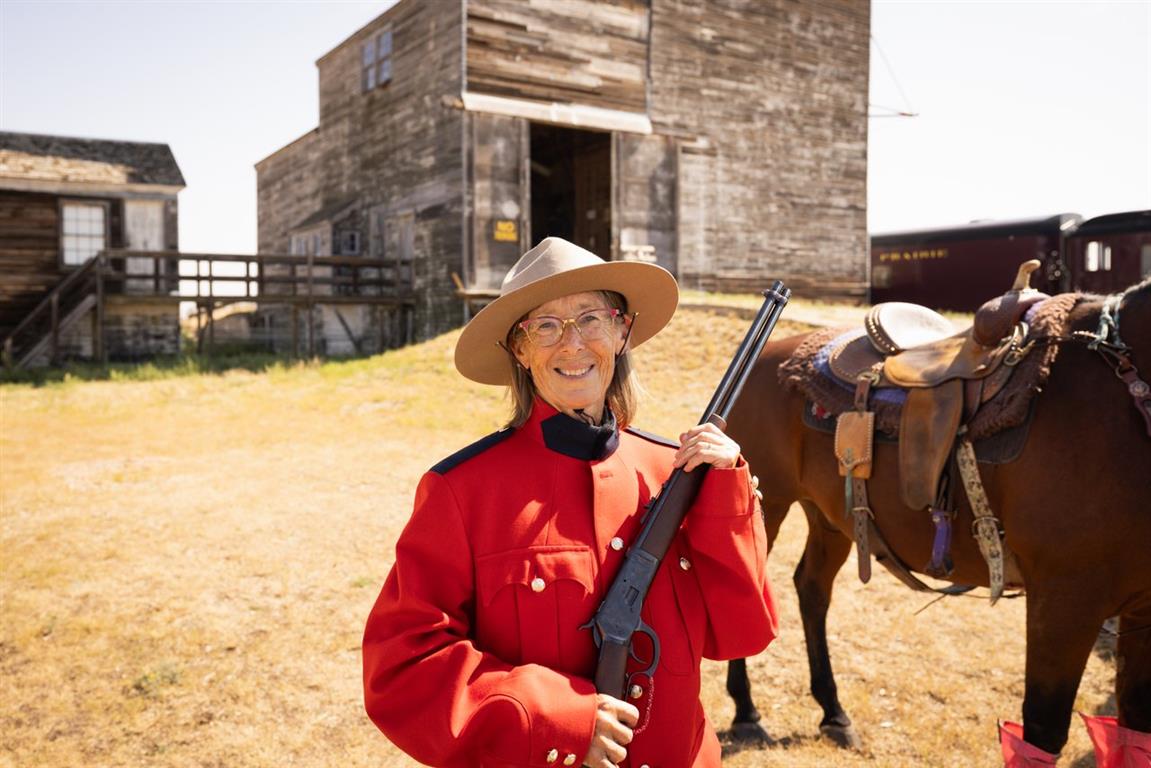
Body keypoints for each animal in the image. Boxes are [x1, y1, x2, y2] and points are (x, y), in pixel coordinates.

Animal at [722, 280, 1146, 755]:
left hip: (828, 516)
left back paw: (833, 713)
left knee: (812, 589)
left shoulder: (1139, 612)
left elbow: (1135, 720)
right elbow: (1043, 730)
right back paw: (746, 713)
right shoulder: (1065, 602)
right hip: (771, 502)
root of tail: (773, 355)